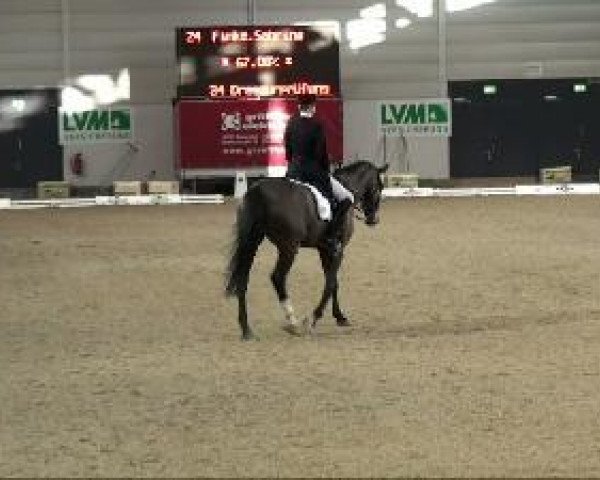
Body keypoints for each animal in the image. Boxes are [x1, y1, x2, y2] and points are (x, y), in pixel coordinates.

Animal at [225, 161, 390, 342]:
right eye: (379, 187)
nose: (374, 220)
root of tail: (257, 192)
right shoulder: (338, 250)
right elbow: (330, 283)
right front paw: (313, 318)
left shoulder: (324, 249)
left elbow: (333, 283)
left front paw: (340, 317)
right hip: (288, 248)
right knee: (277, 277)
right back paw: (293, 322)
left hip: (251, 243)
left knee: (243, 279)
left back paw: (246, 330)